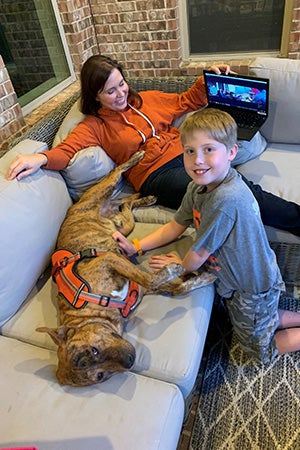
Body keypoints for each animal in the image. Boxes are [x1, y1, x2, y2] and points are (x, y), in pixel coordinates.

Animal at [38, 151, 216, 386]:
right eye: (100, 376)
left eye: (93, 350)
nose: (131, 360)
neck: (94, 309)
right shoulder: (141, 286)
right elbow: (175, 287)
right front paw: (199, 278)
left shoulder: (108, 260)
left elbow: (153, 278)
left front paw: (177, 270)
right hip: (123, 225)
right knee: (125, 205)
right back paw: (144, 198)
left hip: (100, 196)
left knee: (116, 175)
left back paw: (136, 159)